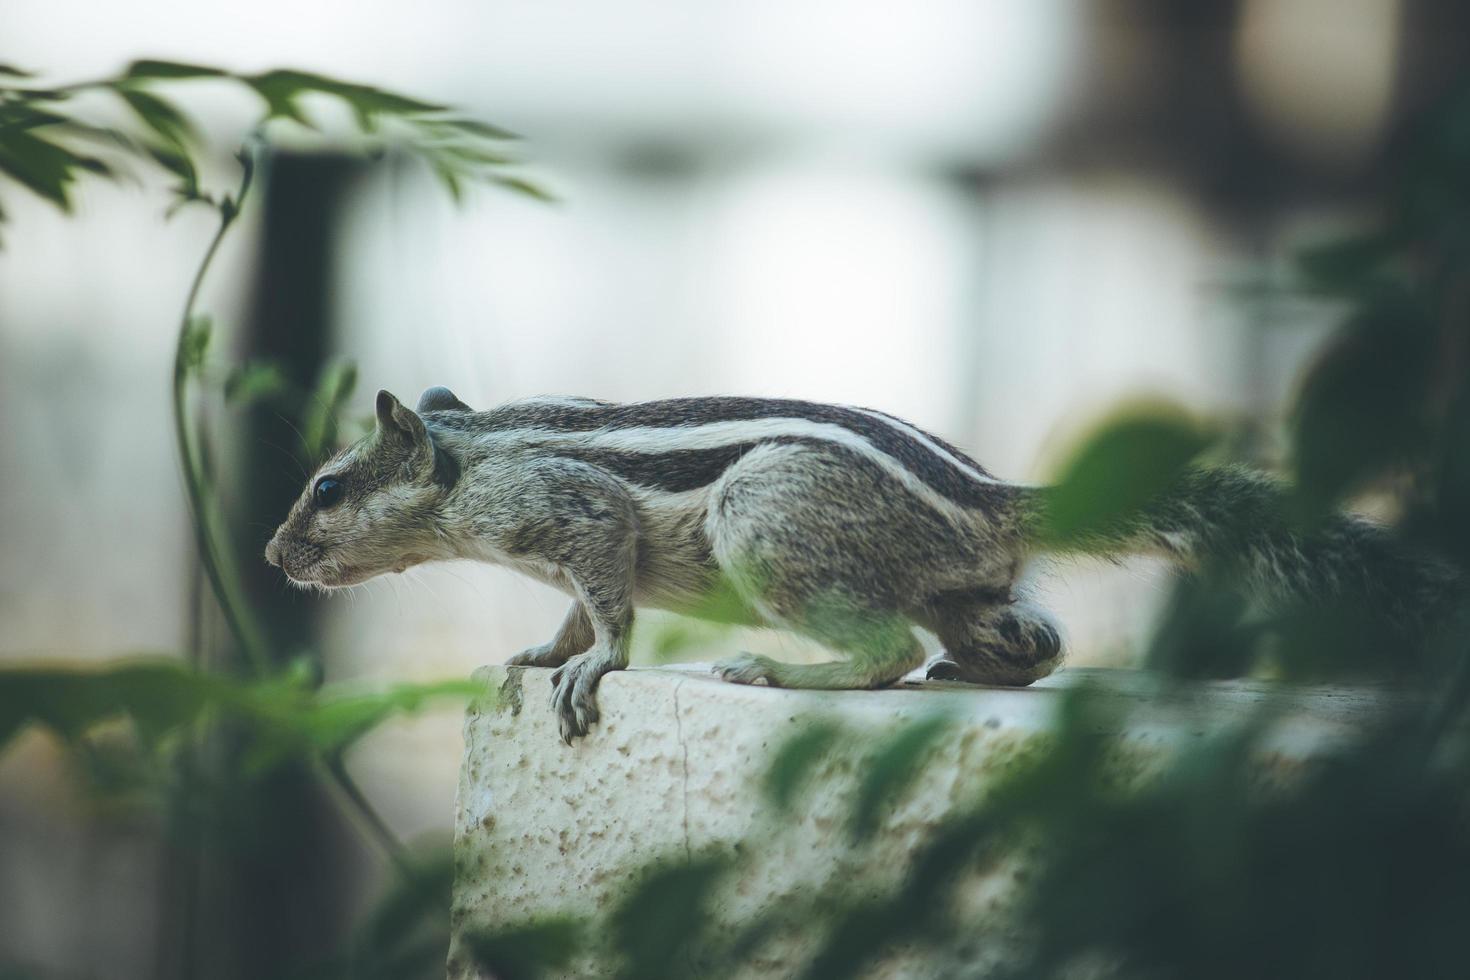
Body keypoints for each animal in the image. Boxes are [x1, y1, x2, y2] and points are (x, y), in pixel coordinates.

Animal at [264, 387, 1458, 740]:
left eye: (326, 489)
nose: (274, 555)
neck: (471, 459)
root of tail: (992, 499)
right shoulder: (558, 546)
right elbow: (566, 609)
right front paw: (535, 653)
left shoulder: (572, 513)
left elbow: (605, 604)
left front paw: (589, 665)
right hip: (967, 588)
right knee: (1031, 640)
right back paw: (974, 667)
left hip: (762, 520)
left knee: (881, 653)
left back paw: (782, 670)